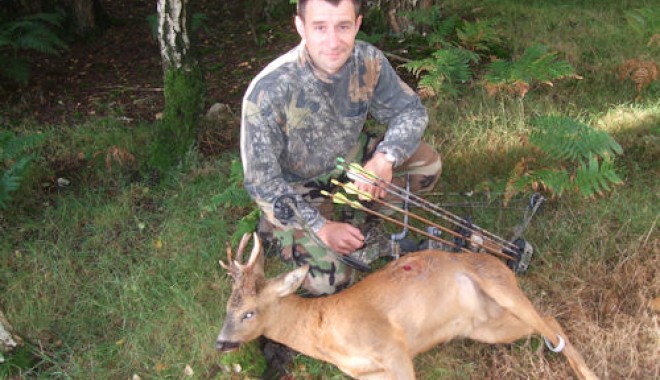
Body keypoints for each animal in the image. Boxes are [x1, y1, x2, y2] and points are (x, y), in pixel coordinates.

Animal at [215, 233, 600, 378]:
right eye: (226, 310)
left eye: (249, 312)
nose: (220, 342)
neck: (323, 330)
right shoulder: (366, 374)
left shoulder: (391, 346)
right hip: (486, 326)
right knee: (550, 323)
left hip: (500, 284)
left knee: (548, 319)